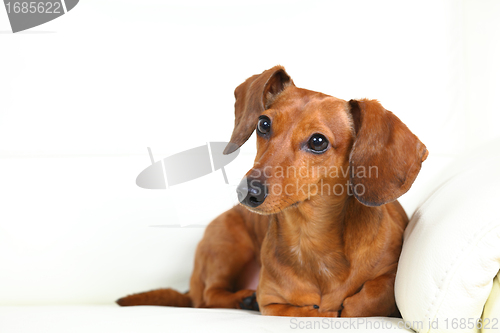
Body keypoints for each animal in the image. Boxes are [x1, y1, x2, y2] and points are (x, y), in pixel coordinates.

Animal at [116, 65, 426, 316]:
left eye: (318, 141)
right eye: (263, 124)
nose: (247, 192)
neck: (309, 238)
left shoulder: (390, 274)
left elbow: (365, 300)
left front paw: (345, 305)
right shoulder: (273, 304)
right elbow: (306, 310)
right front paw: (319, 308)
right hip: (228, 243)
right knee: (207, 297)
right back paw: (243, 298)